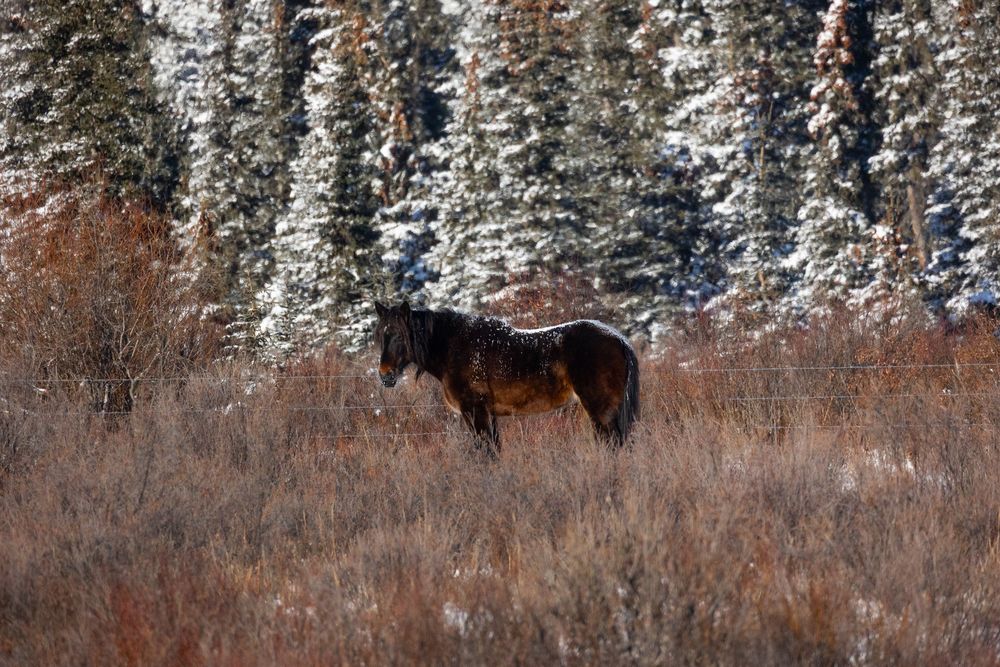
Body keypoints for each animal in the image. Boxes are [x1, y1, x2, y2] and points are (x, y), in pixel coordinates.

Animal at [373, 301, 640, 455]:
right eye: (380, 335)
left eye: (399, 336)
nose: (385, 375)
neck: (454, 348)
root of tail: (618, 339)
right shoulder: (489, 416)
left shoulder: (476, 413)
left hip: (601, 411)